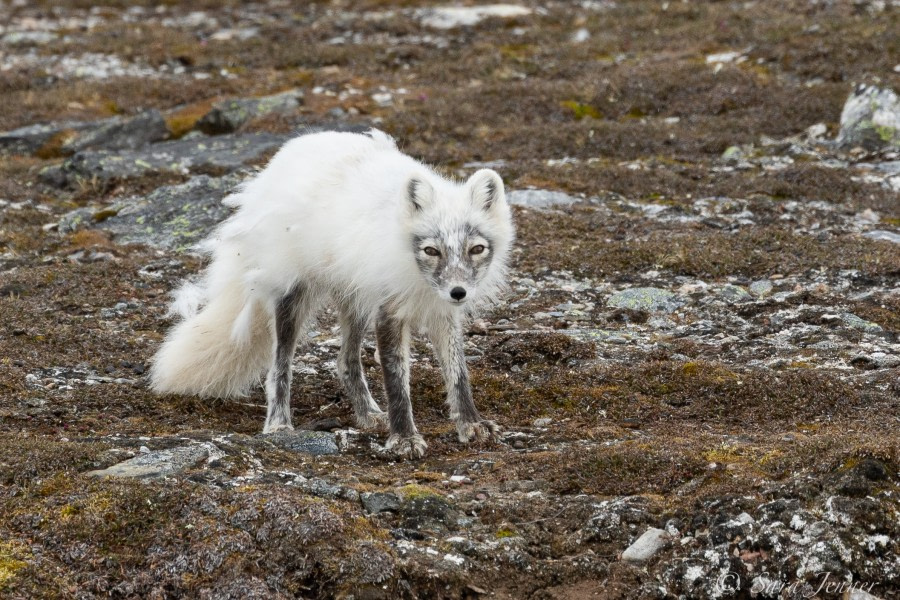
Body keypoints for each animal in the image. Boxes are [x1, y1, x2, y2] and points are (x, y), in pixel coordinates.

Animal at [149, 129, 512, 458]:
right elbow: (397, 381)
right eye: (432, 251)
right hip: (293, 298)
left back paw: (368, 414)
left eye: (476, 249)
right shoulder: (390, 310)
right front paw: (404, 439)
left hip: (356, 301)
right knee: (279, 366)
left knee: (345, 362)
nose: (458, 292)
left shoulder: (442, 313)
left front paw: (471, 423)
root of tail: (286, 154)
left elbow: (458, 373)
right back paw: (278, 423)